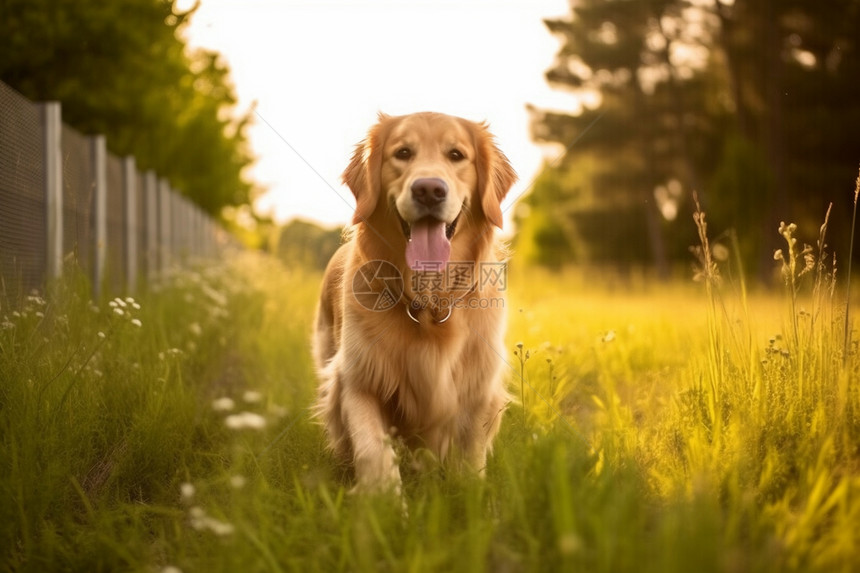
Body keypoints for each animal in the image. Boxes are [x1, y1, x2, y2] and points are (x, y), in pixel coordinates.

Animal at [316, 111, 516, 492]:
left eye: (456, 155)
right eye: (403, 153)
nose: (428, 190)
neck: (427, 304)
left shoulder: (479, 390)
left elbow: (469, 459)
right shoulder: (357, 378)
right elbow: (372, 448)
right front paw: (382, 499)